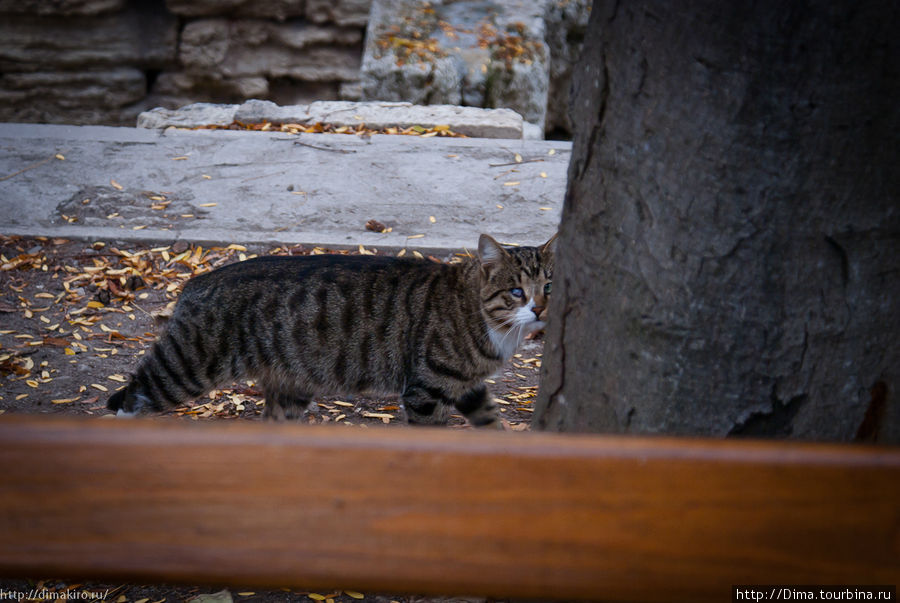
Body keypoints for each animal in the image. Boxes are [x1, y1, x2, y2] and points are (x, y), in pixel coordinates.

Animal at [107, 234, 556, 428]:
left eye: (549, 286)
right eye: (517, 291)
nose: (540, 308)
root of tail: (195, 282)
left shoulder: (466, 385)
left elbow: (490, 420)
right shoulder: (426, 390)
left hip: (291, 387)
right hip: (185, 366)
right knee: (132, 397)